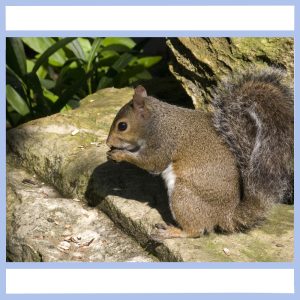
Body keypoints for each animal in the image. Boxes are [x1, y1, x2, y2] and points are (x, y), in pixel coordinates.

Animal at [105, 67, 292, 240]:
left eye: (122, 126)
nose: (108, 142)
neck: (156, 121)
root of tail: (225, 215)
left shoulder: (163, 142)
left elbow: (153, 163)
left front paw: (119, 155)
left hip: (183, 196)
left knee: (195, 231)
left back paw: (173, 231)